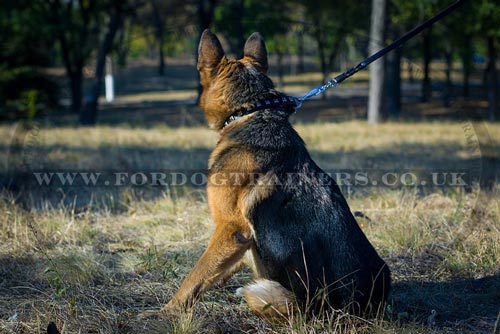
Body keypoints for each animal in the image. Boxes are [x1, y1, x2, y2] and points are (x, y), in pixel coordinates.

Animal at [164, 30, 390, 318]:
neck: (250, 110)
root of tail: (340, 306)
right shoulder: (241, 240)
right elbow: (214, 271)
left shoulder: (231, 229)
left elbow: (195, 275)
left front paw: (166, 310)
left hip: (276, 291)